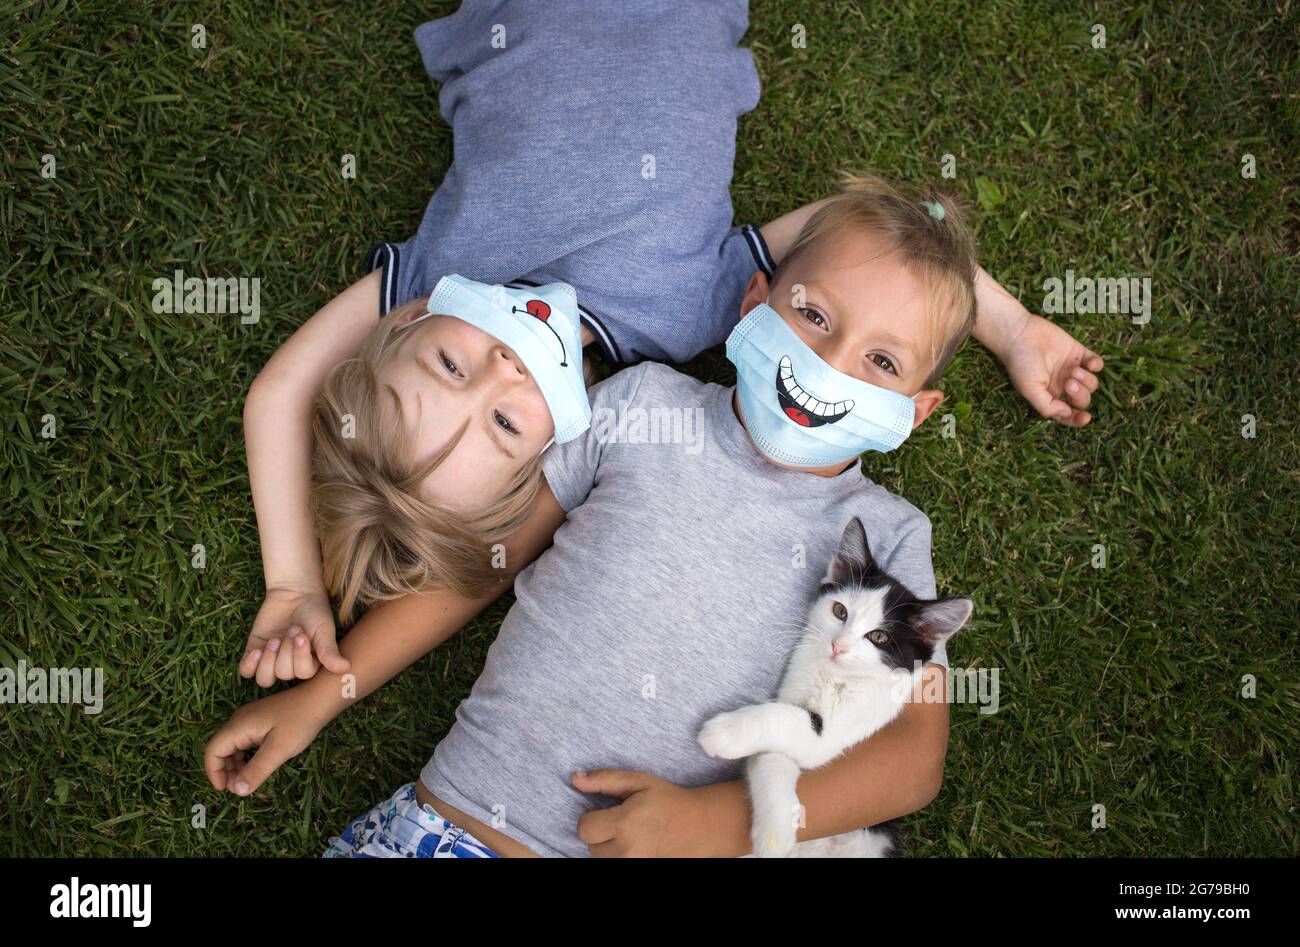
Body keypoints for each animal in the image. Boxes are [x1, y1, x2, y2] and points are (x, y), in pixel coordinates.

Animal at [702, 517, 967, 858]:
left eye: (878, 637)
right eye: (839, 611)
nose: (838, 645)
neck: (834, 676)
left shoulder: (847, 726)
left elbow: (786, 719)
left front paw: (723, 732)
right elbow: (773, 753)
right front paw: (776, 829)